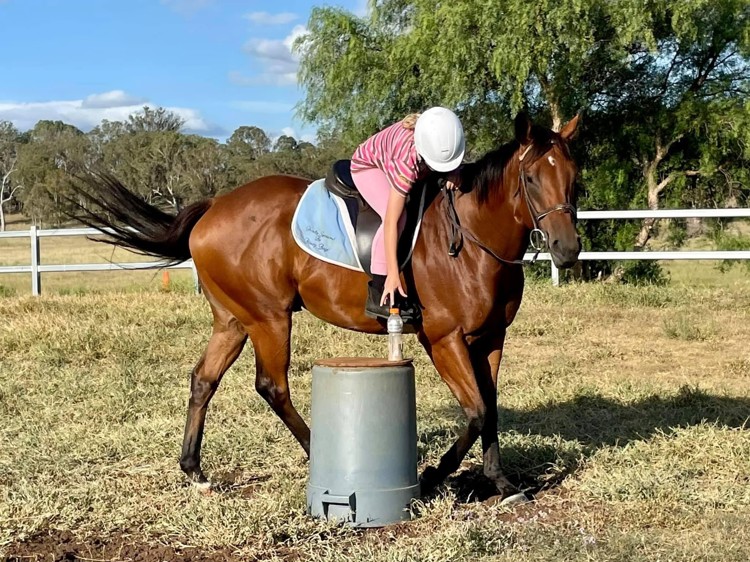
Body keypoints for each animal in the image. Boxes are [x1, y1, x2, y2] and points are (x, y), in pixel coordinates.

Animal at [75, 112, 581, 499]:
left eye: (573, 179)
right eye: (531, 178)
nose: (568, 249)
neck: (473, 241)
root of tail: (216, 205)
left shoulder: (491, 338)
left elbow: (490, 408)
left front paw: (501, 482)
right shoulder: (444, 340)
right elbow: (475, 411)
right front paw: (433, 476)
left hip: (234, 321)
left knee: (203, 380)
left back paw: (195, 470)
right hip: (269, 318)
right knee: (272, 386)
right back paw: (315, 450)